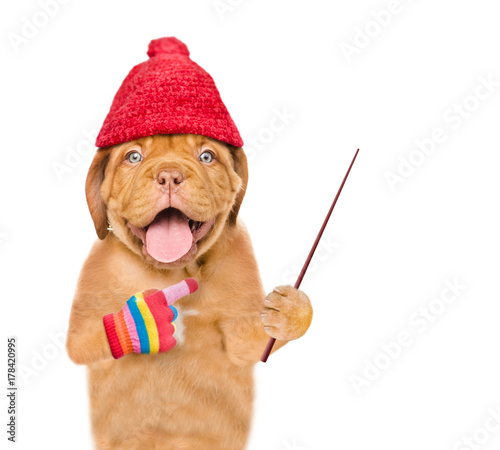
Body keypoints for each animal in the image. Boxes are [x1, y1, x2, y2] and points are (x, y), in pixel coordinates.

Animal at [66, 132, 312, 448]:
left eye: (207, 156)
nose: (170, 175)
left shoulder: (240, 334)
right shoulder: (86, 316)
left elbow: (255, 339)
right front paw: (147, 319)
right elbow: (84, 343)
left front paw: (291, 310)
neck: (172, 272)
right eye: (133, 157)